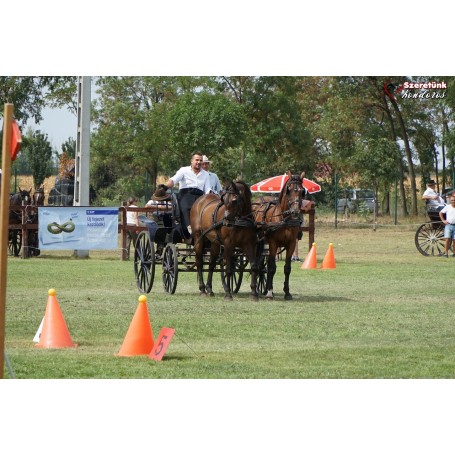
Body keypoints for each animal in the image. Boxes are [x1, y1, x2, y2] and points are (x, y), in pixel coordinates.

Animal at [255, 171, 308, 300]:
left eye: (302, 191)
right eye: (289, 190)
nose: (295, 212)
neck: (284, 219)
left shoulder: (291, 244)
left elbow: (287, 268)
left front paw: (287, 292)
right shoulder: (273, 243)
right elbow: (272, 268)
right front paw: (269, 291)